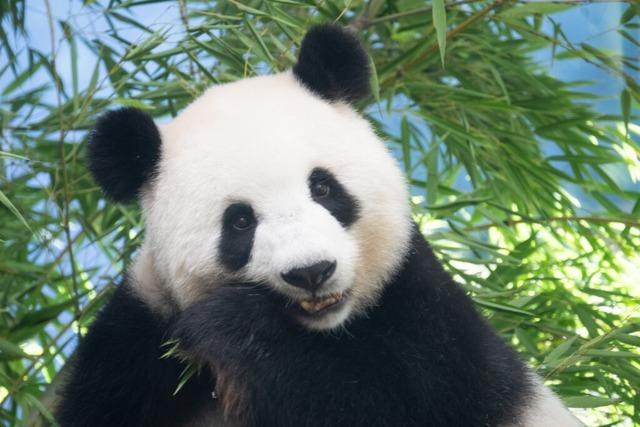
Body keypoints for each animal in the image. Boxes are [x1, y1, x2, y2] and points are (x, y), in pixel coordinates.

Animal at [57, 24, 584, 427]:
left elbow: (385, 401)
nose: (311, 272)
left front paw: (231, 325)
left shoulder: (425, 310)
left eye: (324, 188)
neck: (324, 330)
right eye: (240, 222)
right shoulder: (139, 342)